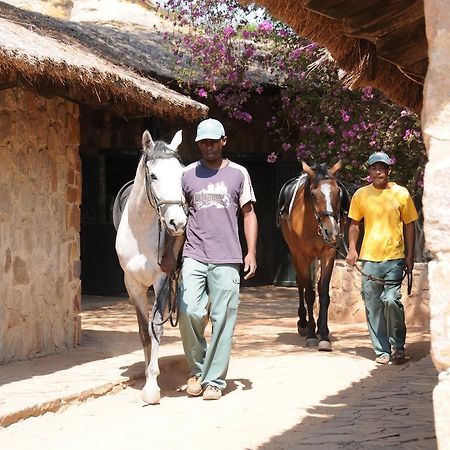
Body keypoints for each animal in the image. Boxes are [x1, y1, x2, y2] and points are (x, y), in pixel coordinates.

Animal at [114, 130, 188, 404]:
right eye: (153, 175)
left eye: (181, 174)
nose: (177, 222)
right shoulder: (132, 284)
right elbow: (144, 332)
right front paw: (147, 374)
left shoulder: (162, 280)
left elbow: (156, 326)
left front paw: (152, 387)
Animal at [278, 161, 348, 352]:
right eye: (313, 195)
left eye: (337, 193)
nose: (332, 232)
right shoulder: (302, 255)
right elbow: (309, 293)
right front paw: (311, 334)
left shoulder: (328, 254)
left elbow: (323, 293)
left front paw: (323, 335)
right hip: (296, 254)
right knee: (301, 283)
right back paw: (303, 323)